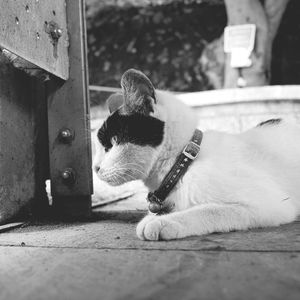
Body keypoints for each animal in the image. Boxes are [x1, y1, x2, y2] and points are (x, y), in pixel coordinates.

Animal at [93, 68, 300, 241]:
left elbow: (209, 210)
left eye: (113, 142)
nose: (95, 168)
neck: (182, 164)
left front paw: (163, 221)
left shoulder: (270, 203)